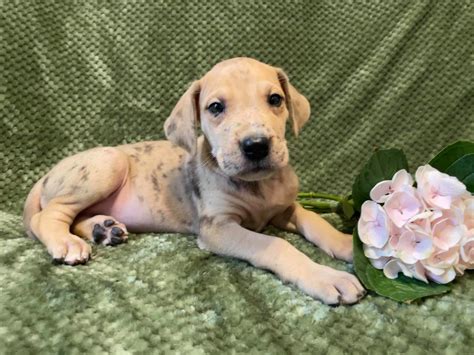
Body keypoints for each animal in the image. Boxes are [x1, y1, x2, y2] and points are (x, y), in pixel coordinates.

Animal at [23, 57, 366, 304]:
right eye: (215, 107)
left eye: (275, 99)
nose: (256, 146)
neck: (258, 187)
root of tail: (47, 173)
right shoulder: (218, 228)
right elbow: (275, 245)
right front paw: (327, 277)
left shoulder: (285, 209)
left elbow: (315, 221)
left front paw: (348, 244)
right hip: (108, 163)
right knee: (49, 215)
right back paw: (68, 242)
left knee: (75, 216)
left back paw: (103, 229)